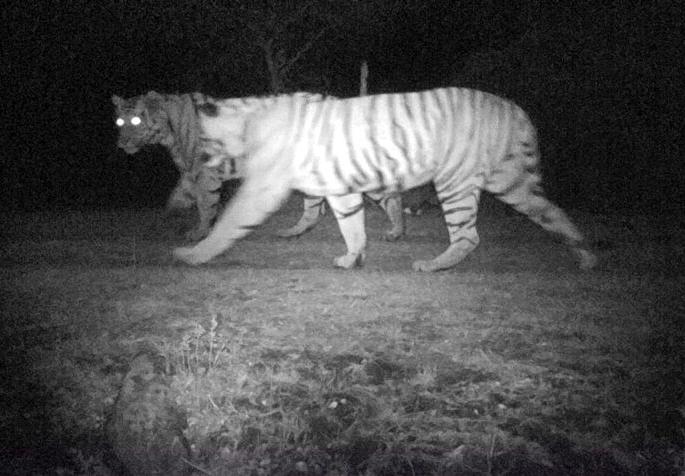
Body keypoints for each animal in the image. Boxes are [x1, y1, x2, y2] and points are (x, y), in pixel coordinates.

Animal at [113, 91, 404, 242]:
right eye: (119, 122)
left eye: (136, 120)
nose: (121, 143)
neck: (168, 134)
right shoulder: (188, 173)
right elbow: (174, 200)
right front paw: (160, 225)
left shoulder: (204, 174)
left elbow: (206, 206)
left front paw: (200, 233)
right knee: (313, 208)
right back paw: (292, 231)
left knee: (390, 196)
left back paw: (396, 231)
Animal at [173, 87, 597, 272]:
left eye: (204, 138)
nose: (197, 160)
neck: (249, 122)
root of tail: (513, 108)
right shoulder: (338, 187)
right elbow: (352, 224)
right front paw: (353, 257)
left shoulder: (263, 187)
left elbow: (229, 222)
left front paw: (194, 254)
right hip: (508, 180)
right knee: (550, 211)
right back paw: (585, 255)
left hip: (456, 180)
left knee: (467, 235)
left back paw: (432, 265)